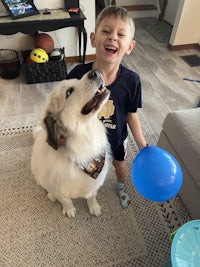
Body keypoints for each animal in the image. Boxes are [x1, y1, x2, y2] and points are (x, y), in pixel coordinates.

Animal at [30, 70, 111, 219]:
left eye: (77, 79)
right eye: (69, 92)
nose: (95, 72)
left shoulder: (94, 183)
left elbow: (92, 196)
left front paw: (94, 207)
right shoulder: (58, 188)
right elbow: (66, 200)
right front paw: (69, 210)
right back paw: (51, 196)